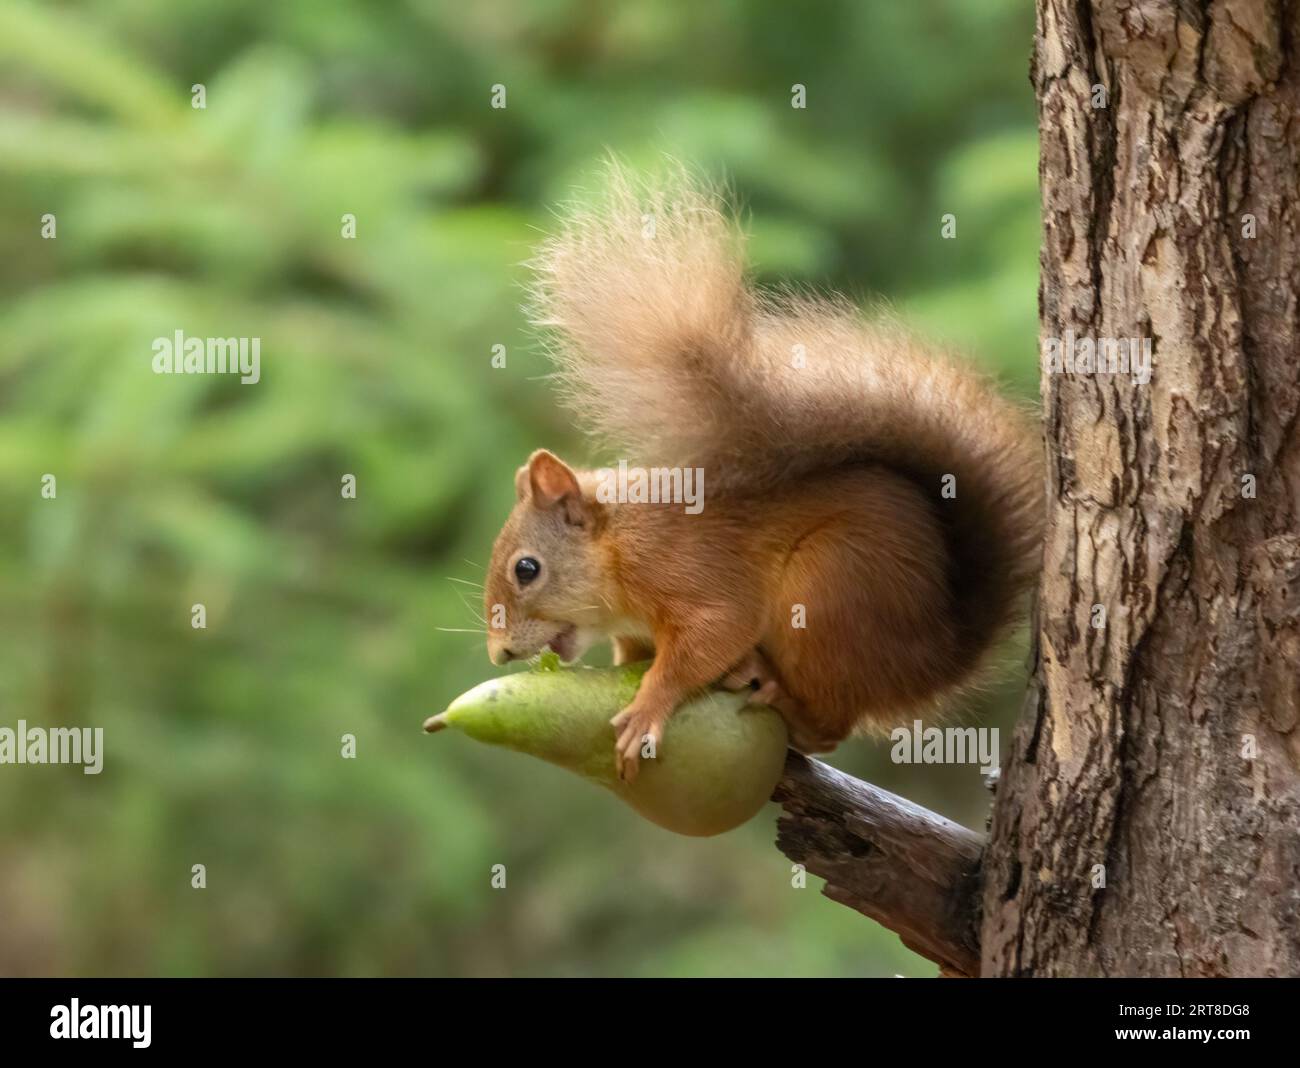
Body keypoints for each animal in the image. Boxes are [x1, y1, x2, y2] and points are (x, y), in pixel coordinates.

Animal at [483, 168, 1040, 784]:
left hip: (831, 589)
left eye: (527, 569)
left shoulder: (689, 571)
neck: (618, 548)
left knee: (830, 723)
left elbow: (711, 637)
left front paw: (649, 706)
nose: (498, 653)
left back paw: (778, 696)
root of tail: (935, 657)